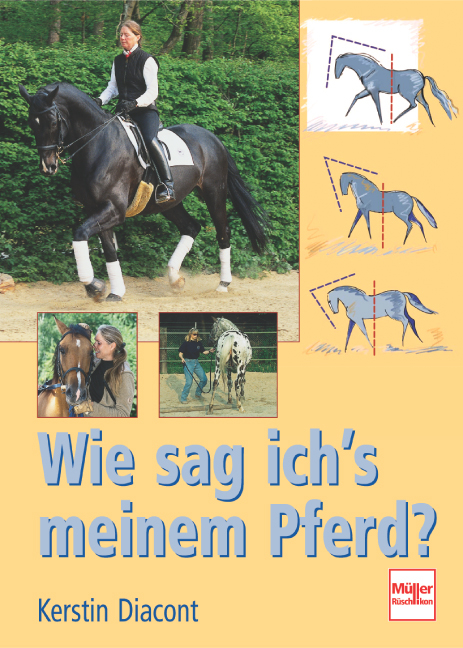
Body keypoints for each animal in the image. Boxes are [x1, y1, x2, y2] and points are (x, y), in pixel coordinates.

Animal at [18, 82, 268, 300]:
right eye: (32, 122)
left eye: (52, 122)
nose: (48, 166)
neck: (98, 143)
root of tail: (213, 138)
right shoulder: (96, 208)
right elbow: (109, 250)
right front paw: (114, 292)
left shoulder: (114, 209)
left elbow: (80, 234)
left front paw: (94, 285)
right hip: (169, 203)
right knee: (191, 227)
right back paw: (175, 279)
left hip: (214, 191)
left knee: (222, 230)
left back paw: (223, 283)